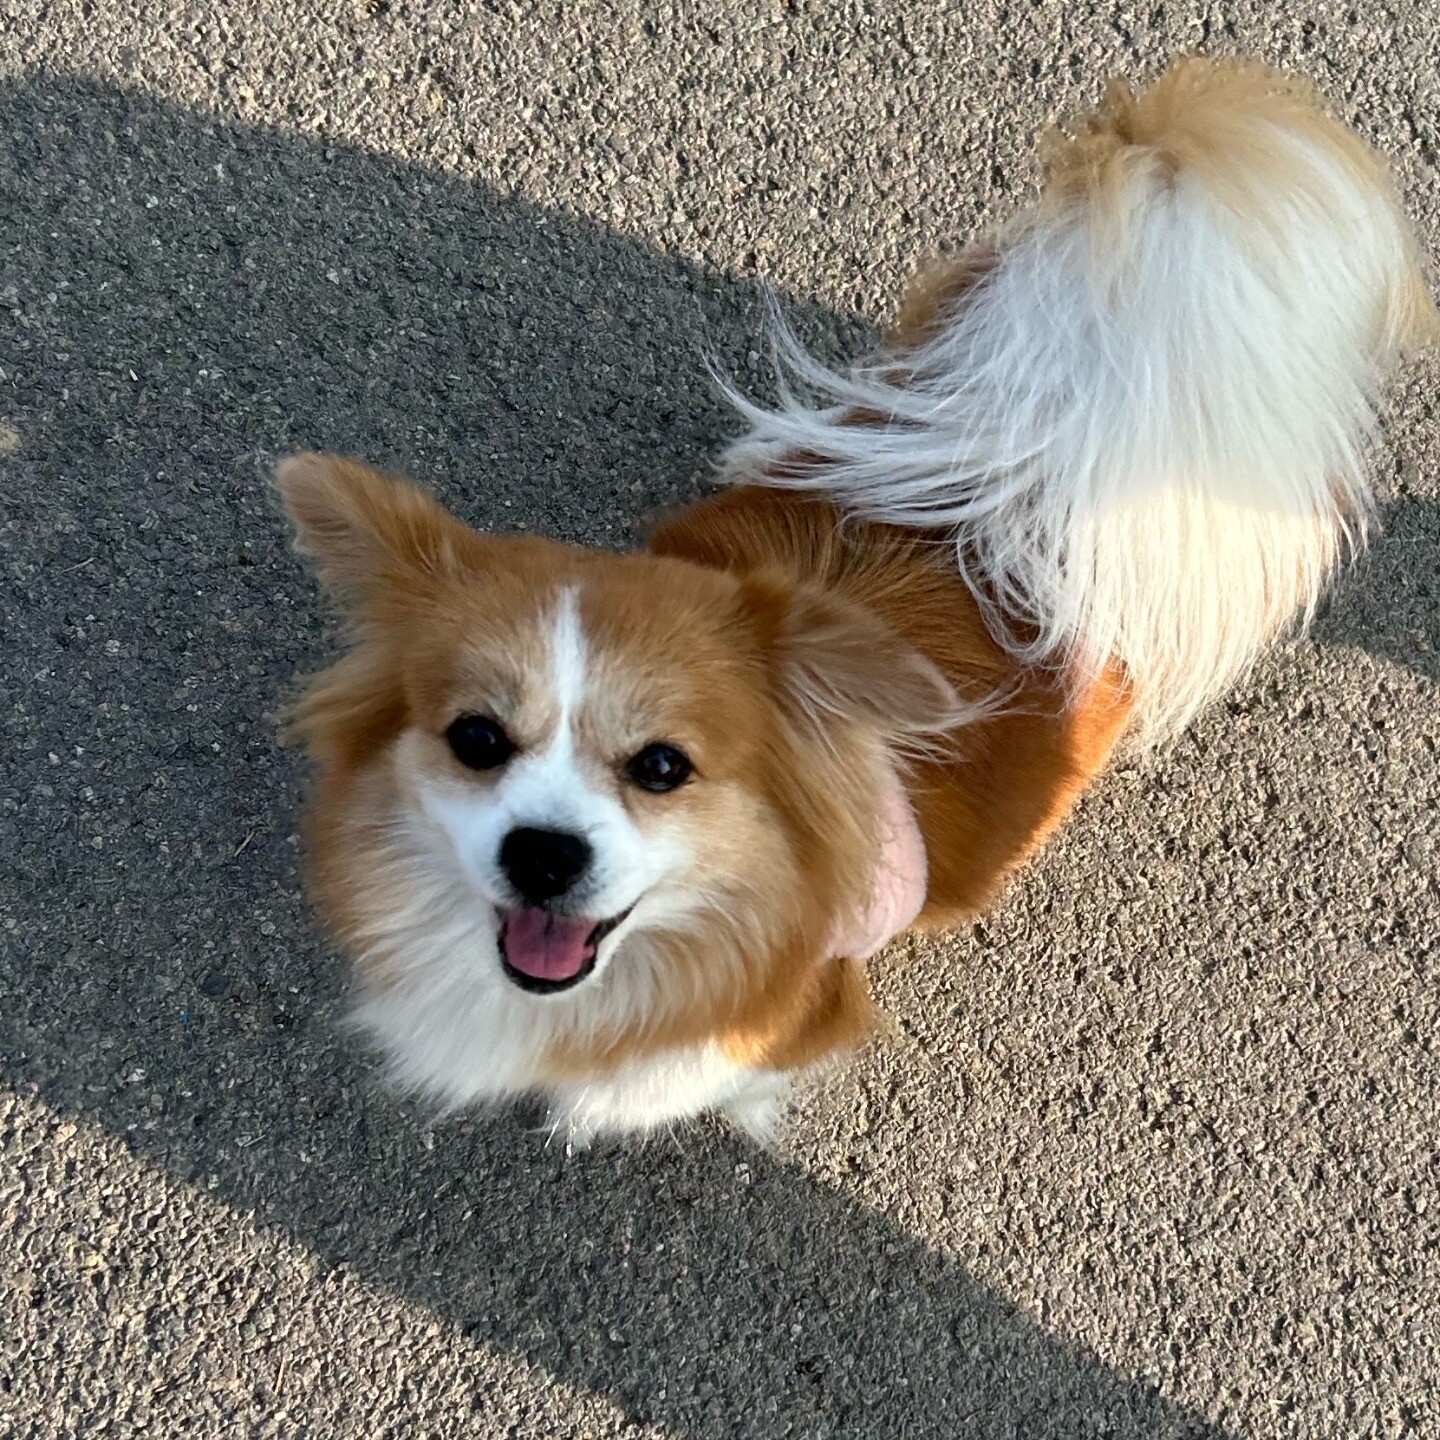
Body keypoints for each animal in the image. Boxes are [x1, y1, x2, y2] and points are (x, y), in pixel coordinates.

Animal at [277, 59, 1435, 1144]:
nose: (543, 853)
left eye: (664, 768)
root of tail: (1053, 426)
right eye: (476, 739)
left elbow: (675, 1078)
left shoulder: (793, 1008)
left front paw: (635, 1105)